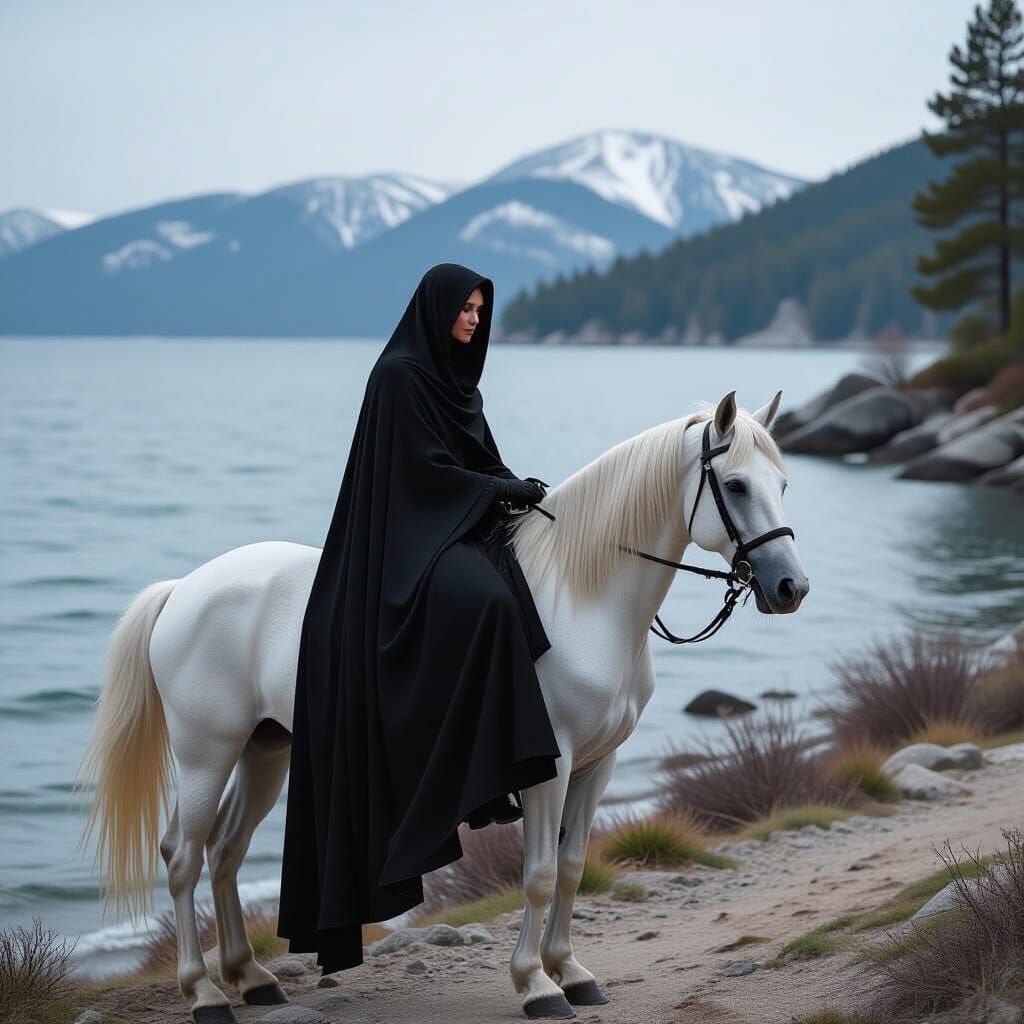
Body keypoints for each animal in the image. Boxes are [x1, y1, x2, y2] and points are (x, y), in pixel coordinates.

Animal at [77, 390, 808, 1022]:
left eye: (783, 484)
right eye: (735, 487)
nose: (790, 587)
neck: (582, 597)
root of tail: (184, 589)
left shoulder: (598, 764)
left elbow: (573, 867)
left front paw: (572, 971)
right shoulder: (550, 764)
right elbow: (539, 873)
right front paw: (536, 984)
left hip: (265, 749)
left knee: (226, 850)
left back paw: (251, 979)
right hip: (207, 750)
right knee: (182, 855)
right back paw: (204, 994)